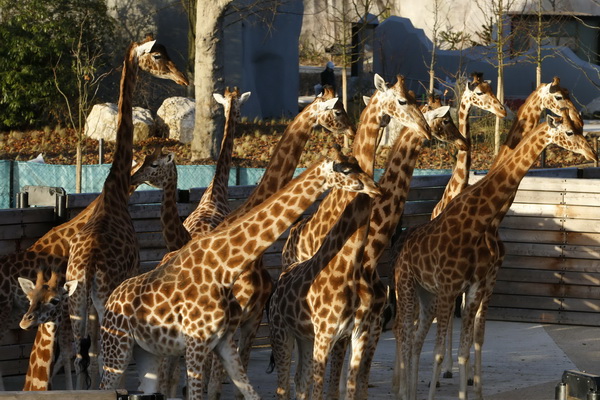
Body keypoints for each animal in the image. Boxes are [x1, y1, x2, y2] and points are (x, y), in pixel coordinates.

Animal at [65, 36, 188, 390]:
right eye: (158, 56)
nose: (183, 79)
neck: (115, 191)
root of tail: (87, 268)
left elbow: (89, 356)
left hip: (76, 302)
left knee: (77, 356)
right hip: (103, 298)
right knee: (102, 360)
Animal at [98, 150, 380, 400]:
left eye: (358, 164)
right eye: (345, 170)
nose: (375, 188)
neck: (225, 268)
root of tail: (112, 299)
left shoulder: (223, 342)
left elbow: (248, 392)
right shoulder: (196, 343)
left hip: (148, 352)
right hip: (117, 346)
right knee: (105, 386)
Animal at [268, 72, 432, 400]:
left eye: (416, 98)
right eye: (402, 101)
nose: (427, 131)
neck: (366, 259)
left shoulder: (365, 326)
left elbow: (352, 386)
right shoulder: (346, 329)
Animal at [394, 109, 596, 400]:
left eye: (581, 128)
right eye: (569, 132)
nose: (593, 153)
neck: (477, 223)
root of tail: (402, 247)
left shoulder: (476, 285)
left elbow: (466, 349)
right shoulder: (449, 288)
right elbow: (440, 352)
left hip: (427, 295)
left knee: (416, 338)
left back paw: (409, 392)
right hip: (407, 287)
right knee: (405, 335)